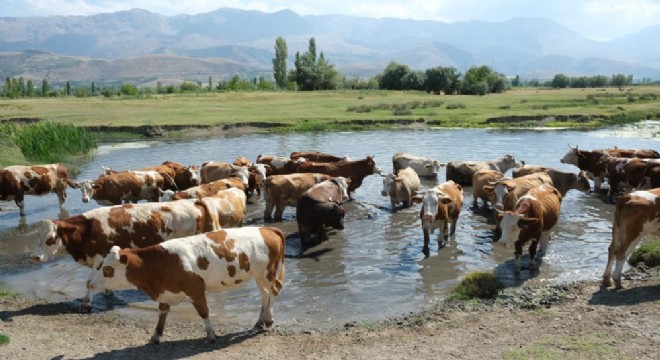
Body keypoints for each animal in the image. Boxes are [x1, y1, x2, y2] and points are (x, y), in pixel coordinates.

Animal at [31, 201, 222, 310]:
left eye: (50, 239)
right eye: (36, 237)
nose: (35, 257)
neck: (88, 230)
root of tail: (195, 203)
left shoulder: (99, 258)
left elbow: (89, 282)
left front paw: (86, 304)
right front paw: (107, 293)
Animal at [87, 228, 284, 344]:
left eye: (107, 269)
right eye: (101, 264)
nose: (91, 284)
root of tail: (267, 229)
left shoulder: (195, 290)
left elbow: (204, 312)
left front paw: (210, 334)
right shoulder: (166, 292)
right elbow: (162, 313)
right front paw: (156, 335)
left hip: (268, 272)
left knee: (274, 289)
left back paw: (269, 319)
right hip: (258, 275)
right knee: (264, 294)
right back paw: (260, 321)